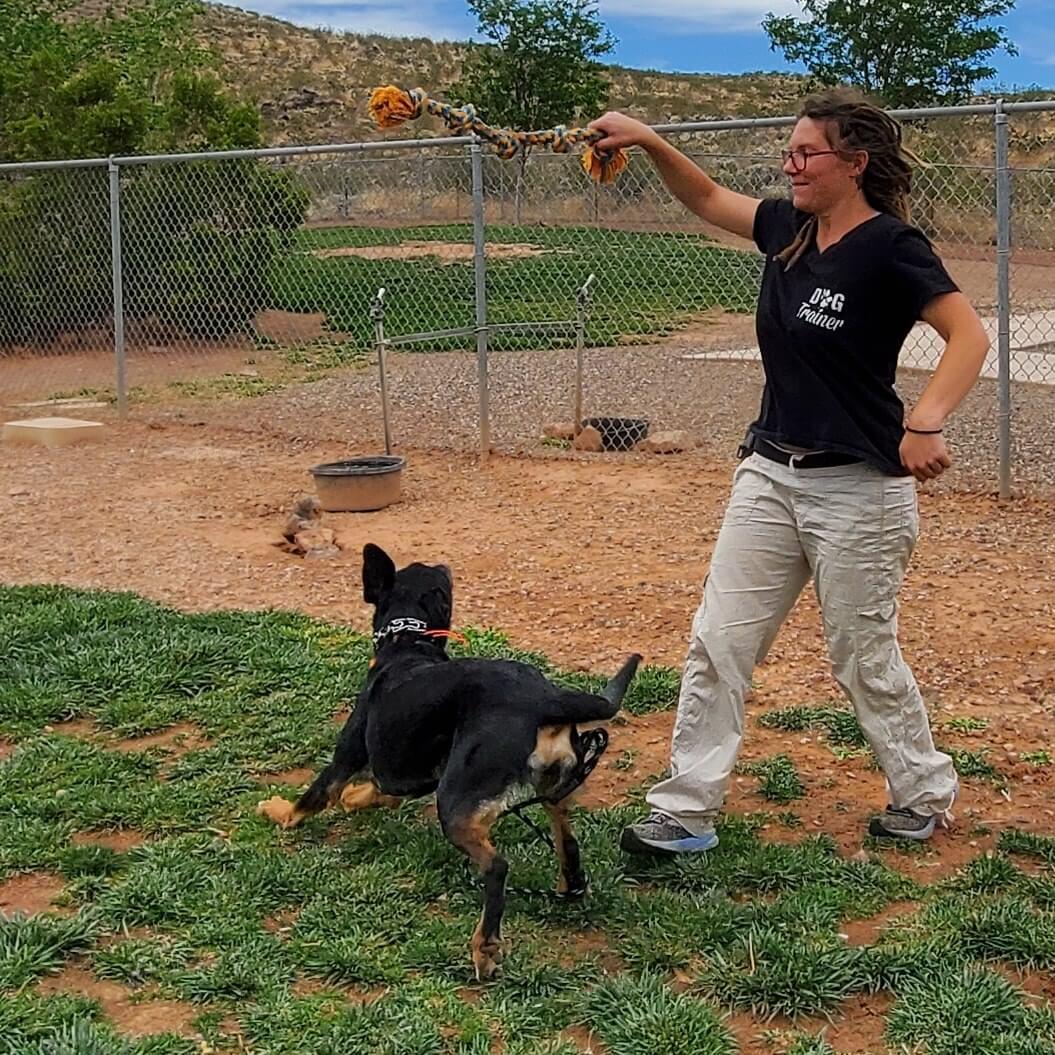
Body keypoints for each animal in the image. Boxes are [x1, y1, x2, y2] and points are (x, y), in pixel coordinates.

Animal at [257, 544, 632, 979]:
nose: (441, 563)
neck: (408, 644)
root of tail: (545, 698)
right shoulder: (406, 771)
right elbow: (383, 793)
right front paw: (356, 799)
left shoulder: (346, 758)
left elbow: (311, 799)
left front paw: (278, 810)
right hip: (553, 789)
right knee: (567, 842)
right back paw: (567, 884)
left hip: (455, 803)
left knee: (496, 867)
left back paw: (485, 947)